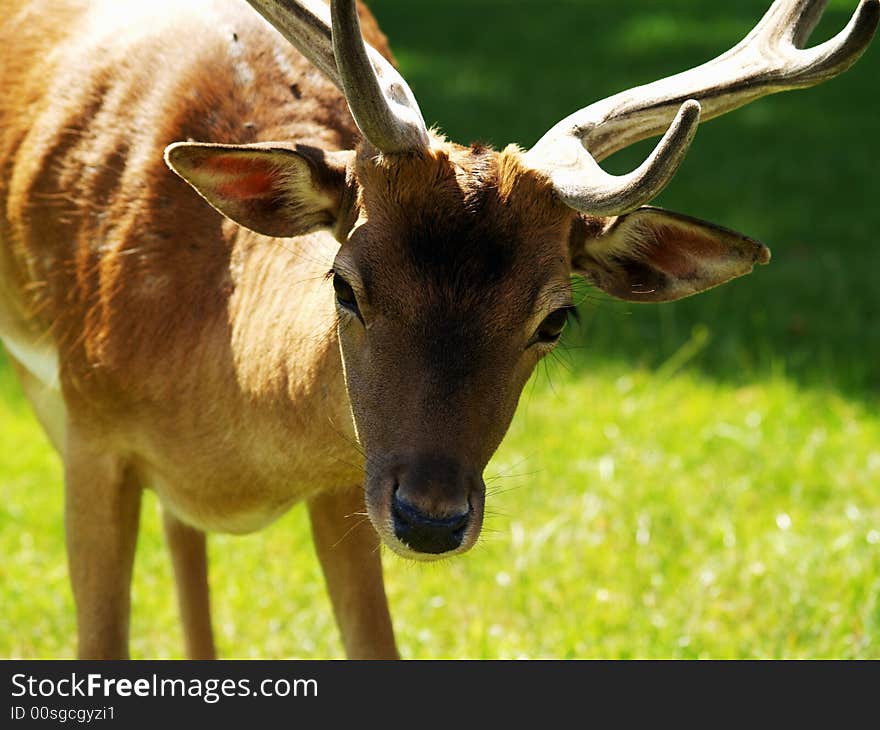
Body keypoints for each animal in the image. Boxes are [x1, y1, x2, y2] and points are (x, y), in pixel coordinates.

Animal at [0, 0, 876, 660]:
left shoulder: (345, 483)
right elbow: (100, 642)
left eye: (555, 317)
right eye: (343, 283)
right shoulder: (91, 432)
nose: (431, 518)